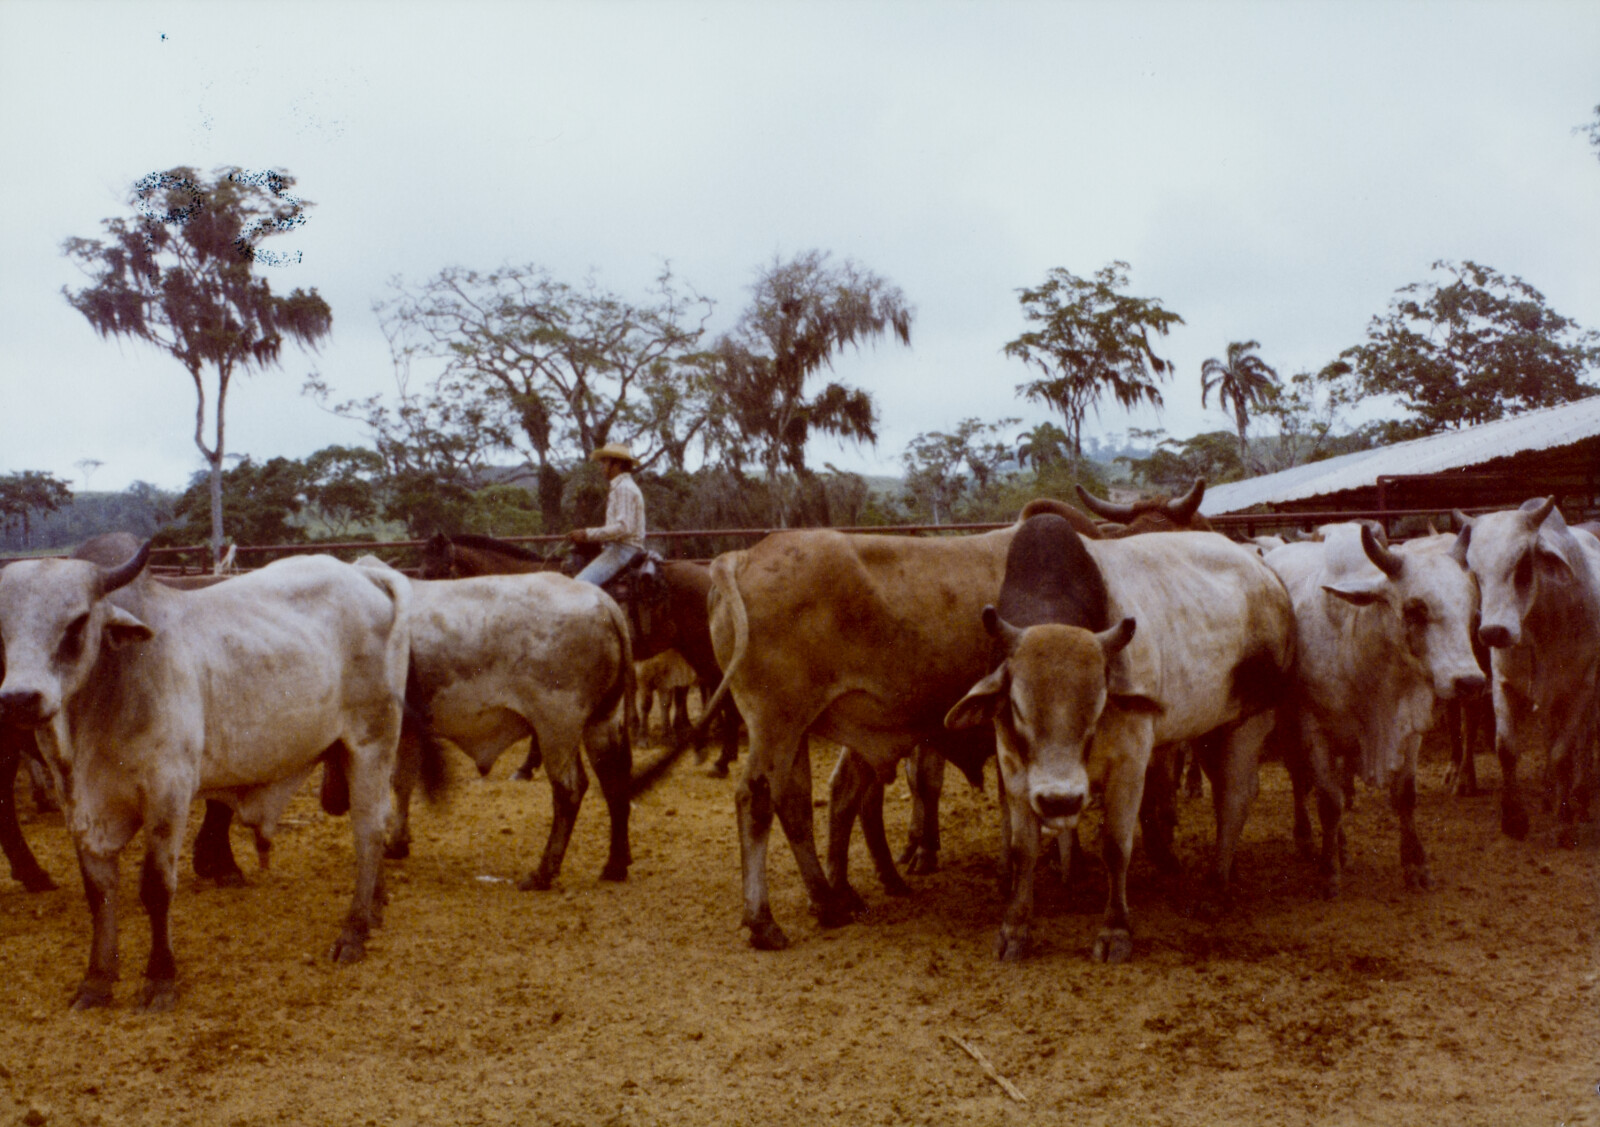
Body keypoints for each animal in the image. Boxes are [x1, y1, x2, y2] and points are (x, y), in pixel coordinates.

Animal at [0, 541, 409, 1005]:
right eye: (2, 626)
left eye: (77, 621)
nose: (19, 699)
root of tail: (363, 572)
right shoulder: (82, 808)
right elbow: (99, 893)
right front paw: (97, 979)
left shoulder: (167, 795)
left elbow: (156, 887)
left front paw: (161, 977)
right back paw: (375, 910)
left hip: (373, 742)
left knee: (369, 832)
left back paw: (354, 930)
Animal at [364, 563, 636, 890]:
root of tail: (603, 601)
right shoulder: (409, 731)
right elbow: (403, 782)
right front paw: (397, 843)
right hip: (602, 721)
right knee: (615, 782)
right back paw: (615, 865)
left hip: (557, 726)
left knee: (569, 790)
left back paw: (543, 872)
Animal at [1267, 521, 1478, 896]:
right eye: (1414, 609)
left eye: (1468, 608)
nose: (1469, 682)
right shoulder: (1313, 729)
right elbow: (1328, 802)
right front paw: (1328, 872)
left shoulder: (1409, 730)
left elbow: (1405, 797)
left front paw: (1416, 865)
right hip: (1288, 723)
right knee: (1299, 778)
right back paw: (1307, 839)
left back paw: (1342, 846)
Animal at [1459, 496, 1600, 838]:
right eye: (1476, 572)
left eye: (1524, 563)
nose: (1493, 632)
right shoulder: (1503, 683)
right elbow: (1506, 748)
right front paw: (1514, 818)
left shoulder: (1580, 688)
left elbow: (1563, 753)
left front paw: (1566, 821)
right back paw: (1549, 794)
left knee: (1585, 738)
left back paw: (1580, 796)